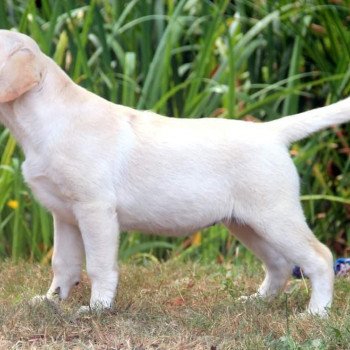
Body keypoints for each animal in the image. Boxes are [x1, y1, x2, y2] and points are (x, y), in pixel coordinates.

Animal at [0, 29, 350, 314]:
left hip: (275, 216)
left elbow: (98, 265)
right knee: (279, 264)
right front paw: (50, 301)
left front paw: (97, 308)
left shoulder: (94, 209)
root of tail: (271, 132)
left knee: (319, 257)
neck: (44, 120)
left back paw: (315, 313)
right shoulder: (65, 214)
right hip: (246, 223)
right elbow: (63, 263)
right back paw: (256, 302)